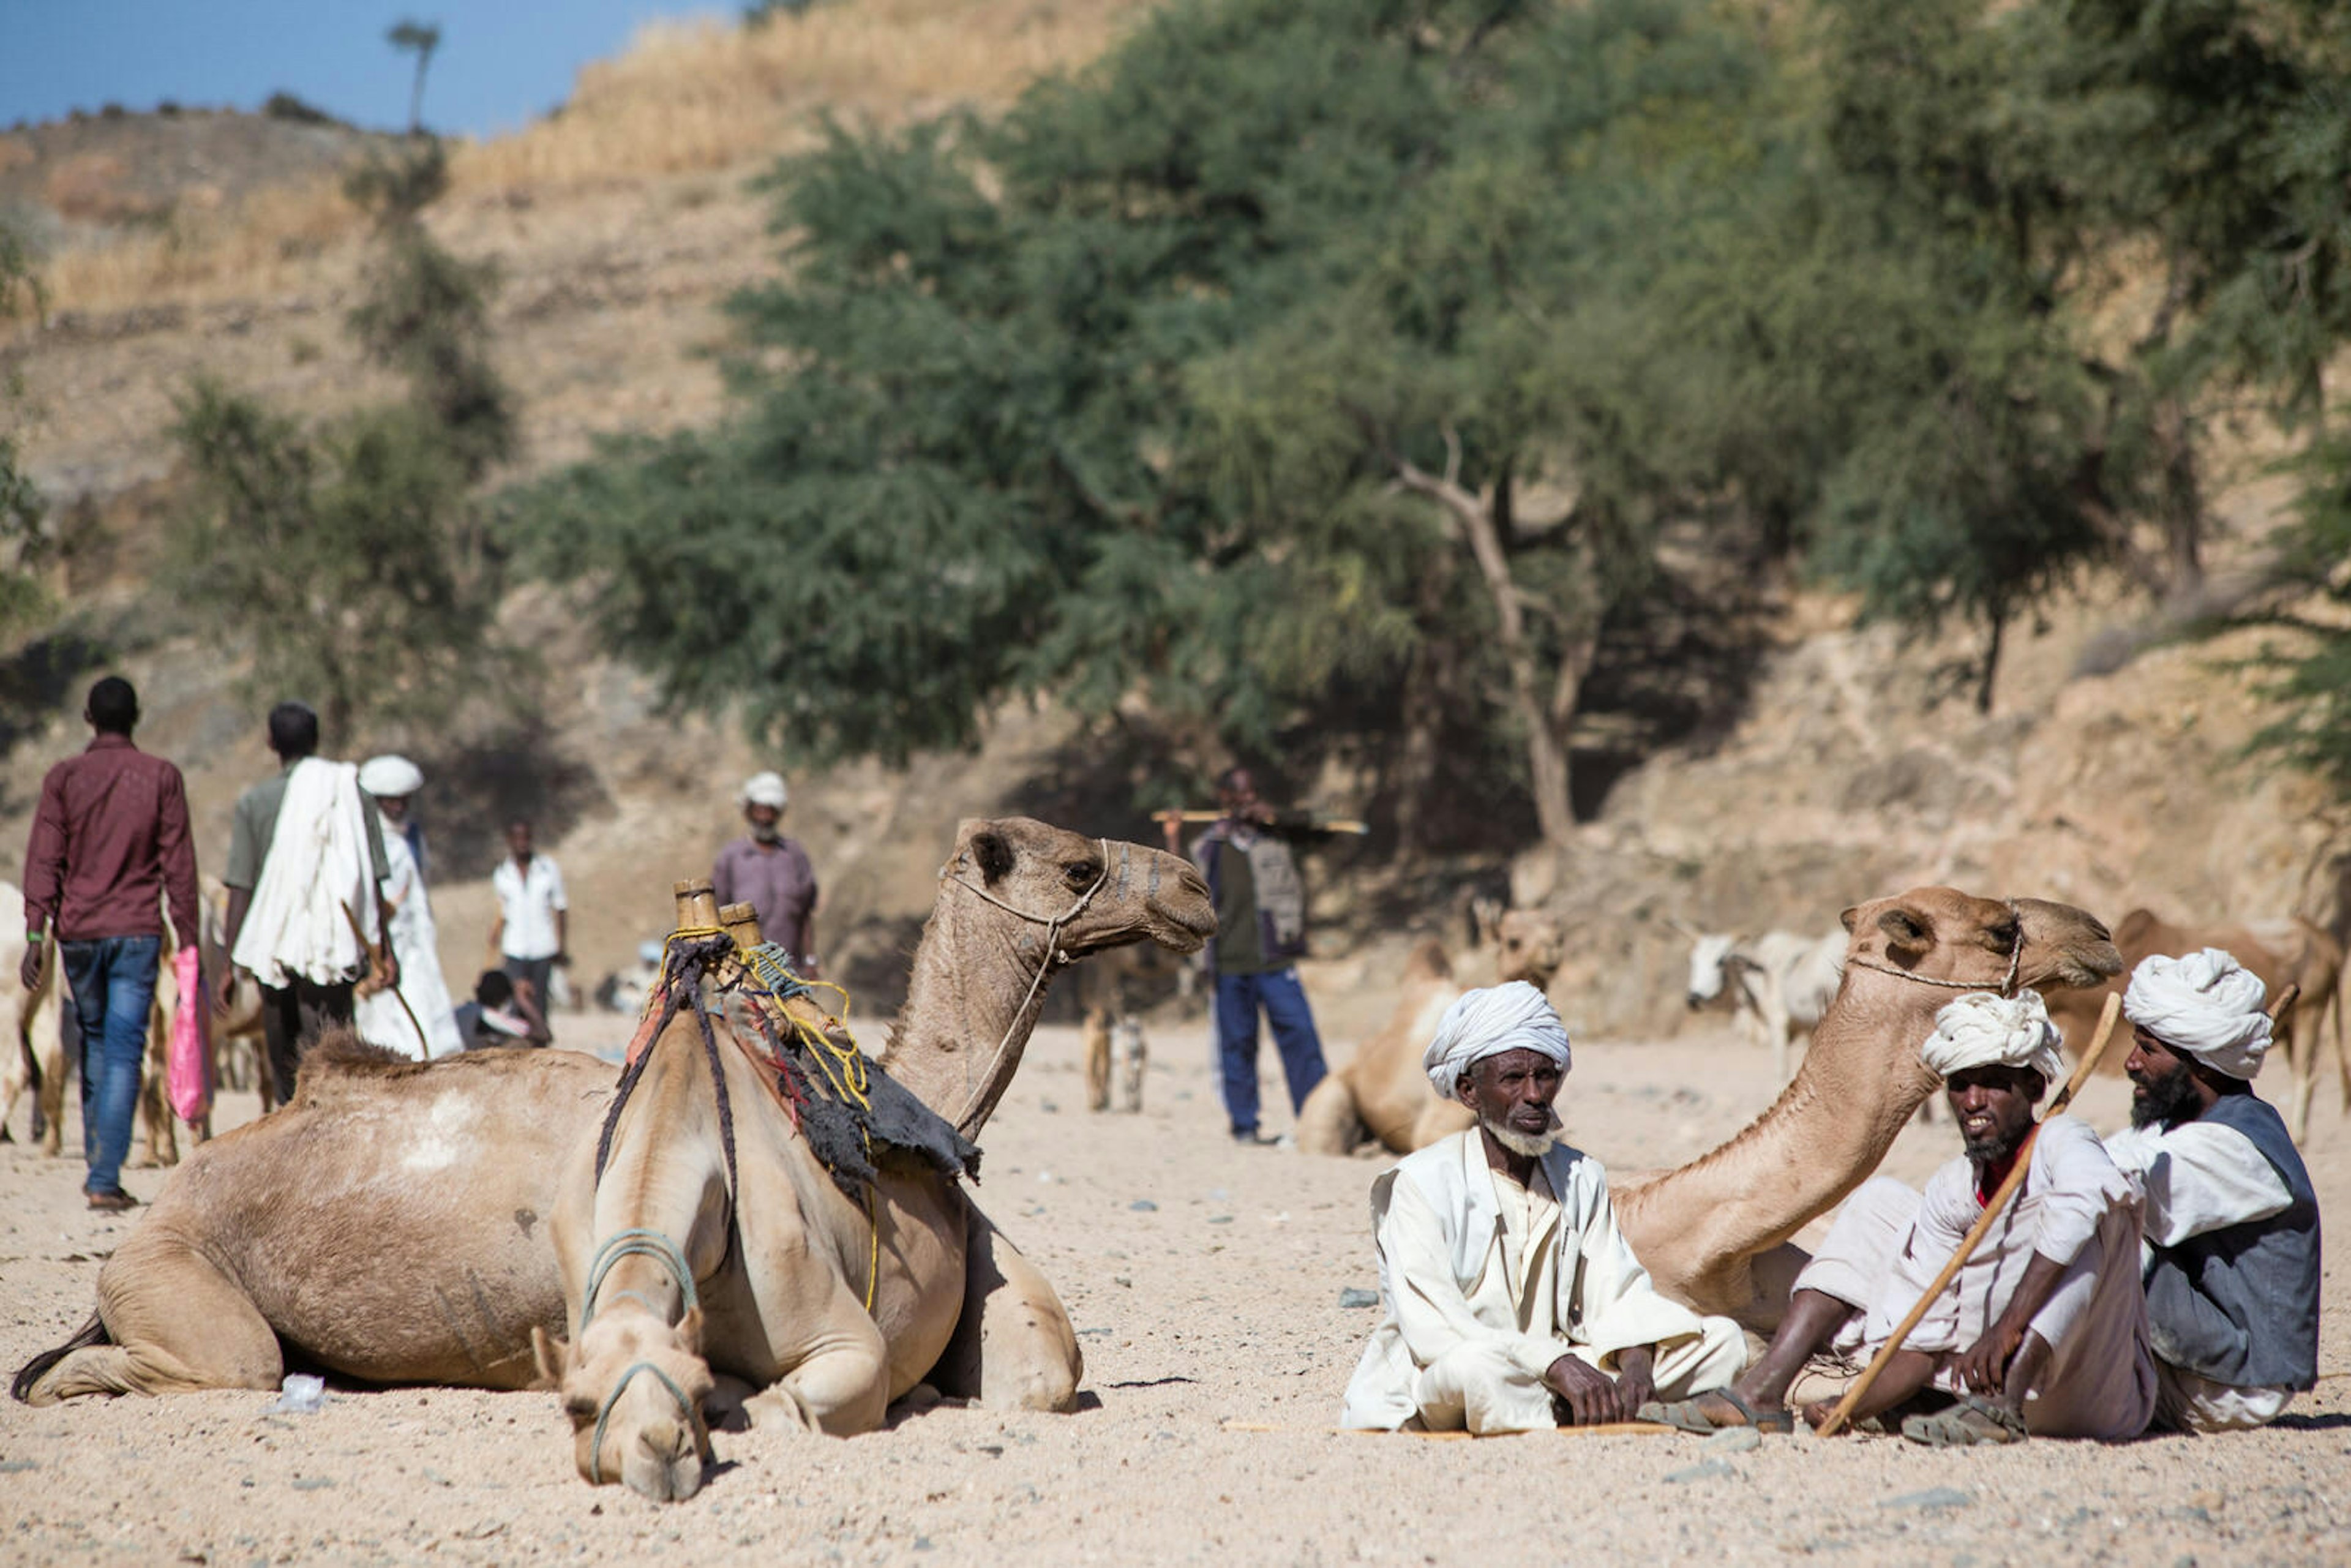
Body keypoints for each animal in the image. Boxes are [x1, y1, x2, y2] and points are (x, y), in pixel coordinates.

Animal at [18, 822, 1222, 1420]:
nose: (1197, 888)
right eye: (1080, 863)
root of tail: (155, 1208)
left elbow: (1043, 1373)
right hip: (171, 1269)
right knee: (218, 1363)